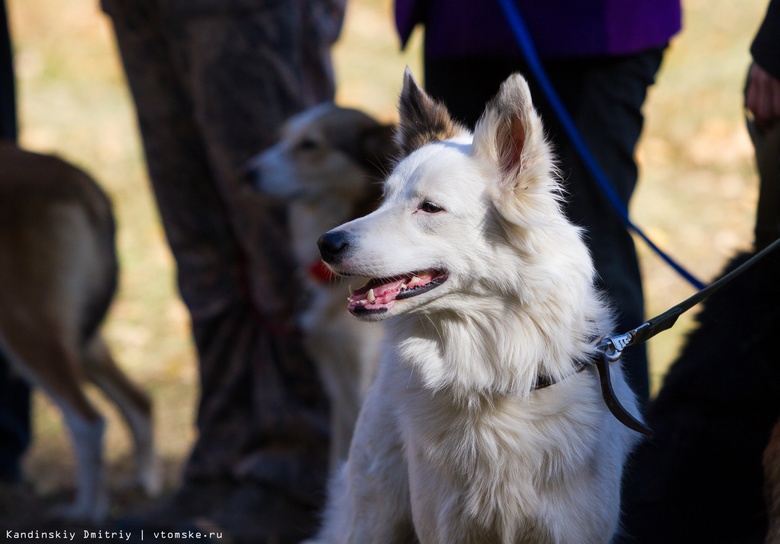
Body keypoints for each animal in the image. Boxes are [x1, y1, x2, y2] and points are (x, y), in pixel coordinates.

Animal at [0, 142, 161, 520]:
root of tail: (77, 177)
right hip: (77, 335)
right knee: (139, 402)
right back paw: (144, 483)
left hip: (24, 324)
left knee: (88, 422)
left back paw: (85, 512)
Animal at [308, 73, 644, 544]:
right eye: (383, 199)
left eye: (429, 207)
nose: (326, 244)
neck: (494, 375)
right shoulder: (445, 526)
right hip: (372, 518)